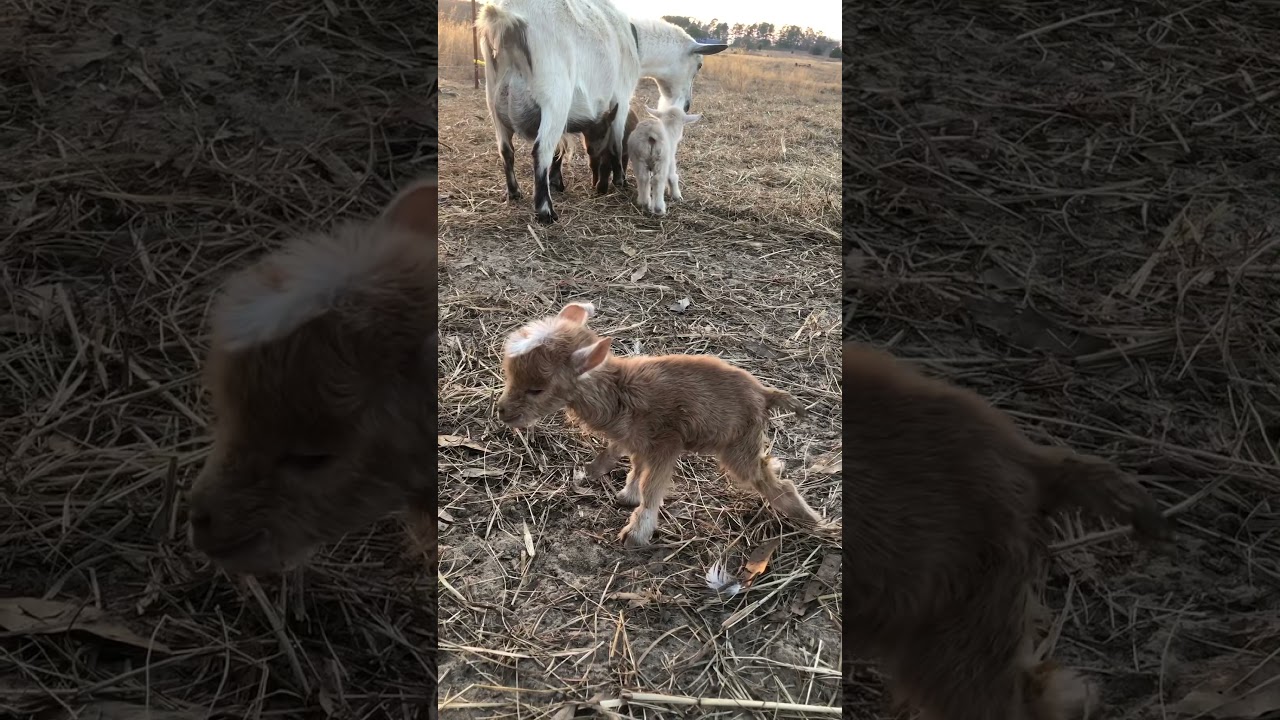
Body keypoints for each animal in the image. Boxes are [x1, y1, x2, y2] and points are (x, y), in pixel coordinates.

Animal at [477, 0, 726, 224]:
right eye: (699, 65)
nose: (686, 106)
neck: (634, 41)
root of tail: (506, 21)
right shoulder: (621, 98)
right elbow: (616, 144)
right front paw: (620, 180)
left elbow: (562, 147)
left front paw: (558, 182)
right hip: (555, 99)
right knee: (541, 151)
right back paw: (546, 211)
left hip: (493, 103)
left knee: (506, 150)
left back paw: (514, 192)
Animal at [495, 302, 823, 547]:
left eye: (537, 388)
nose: (502, 412)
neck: (618, 392)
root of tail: (765, 394)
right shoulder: (639, 443)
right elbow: (637, 470)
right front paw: (627, 496)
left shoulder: (666, 443)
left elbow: (652, 487)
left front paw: (636, 533)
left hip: (737, 447)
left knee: (777, 484)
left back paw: (814, 522)